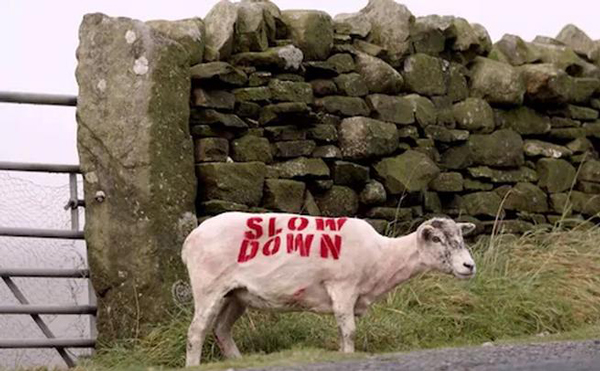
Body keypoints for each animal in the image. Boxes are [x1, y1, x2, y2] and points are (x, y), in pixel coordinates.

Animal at [180, 211, 476, 368]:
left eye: (461, 238)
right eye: (436, 239)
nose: (469, 266)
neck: (382, 258)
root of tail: (190, 239)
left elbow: (343, 332)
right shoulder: (343, 286)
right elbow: (350, 331)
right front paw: (349, 356)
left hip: (236, 294)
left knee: (221, 330)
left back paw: (238, 361)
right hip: (209, 287)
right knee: (196, 332)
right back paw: (193, 365)